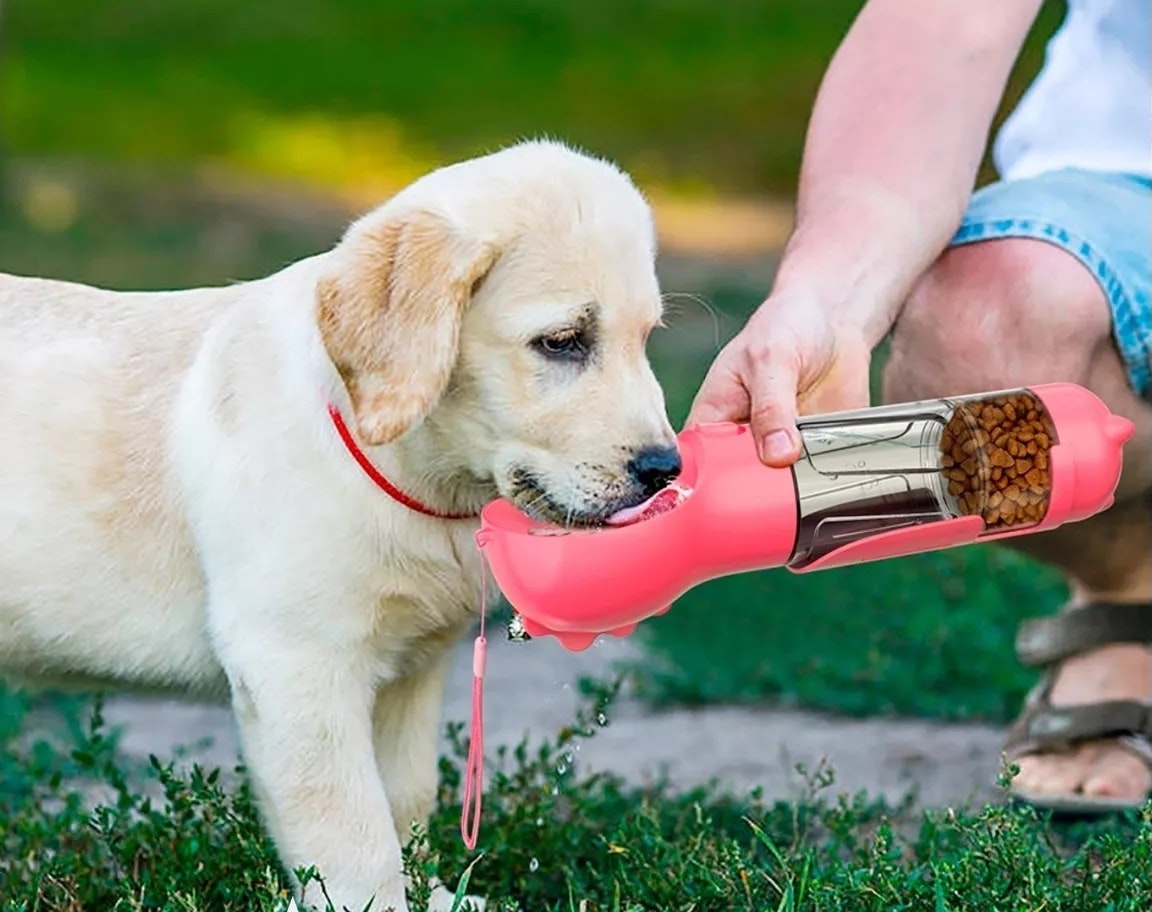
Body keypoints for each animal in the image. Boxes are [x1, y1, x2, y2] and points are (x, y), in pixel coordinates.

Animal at [0, 138, 677, 907]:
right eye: (563, 341)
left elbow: (405, 803)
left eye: (646, 338)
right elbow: (353, 834)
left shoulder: (412, 673)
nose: (666, 469)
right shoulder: (297, 664)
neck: (412, 475)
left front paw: (433, 895)